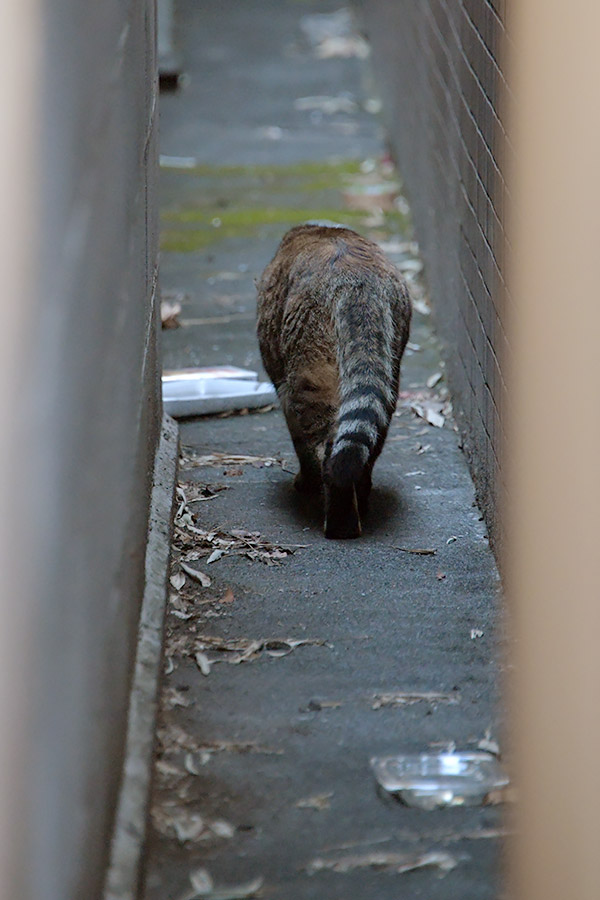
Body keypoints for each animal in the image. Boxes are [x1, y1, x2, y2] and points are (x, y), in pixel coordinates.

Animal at [255, 224, 410, 536]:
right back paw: (361, 498)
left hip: (309, 376)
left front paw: (305, 481)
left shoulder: (285, 388)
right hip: (388, 375)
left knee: (327, 446)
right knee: (369, 442)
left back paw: (340, 521)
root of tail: (358, 282)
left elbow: (300, 445)